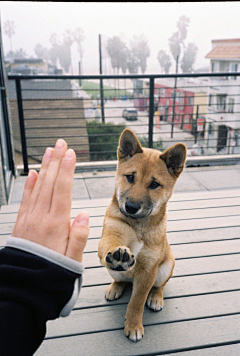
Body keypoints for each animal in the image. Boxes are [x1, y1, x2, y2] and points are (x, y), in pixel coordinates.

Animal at [98, 128, 188, 342]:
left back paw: (156, 298)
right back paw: (115, 286)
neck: (137, 226)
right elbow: (110, 245)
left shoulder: (148, 270)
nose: (130, 207)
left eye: (154, 184)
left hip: (165, 268)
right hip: (113, 271)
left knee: (160, 286)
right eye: (130, 177)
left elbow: (136, 302)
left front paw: (133, 325)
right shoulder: (109, 237)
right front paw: (118, 254)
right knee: (121, 278)